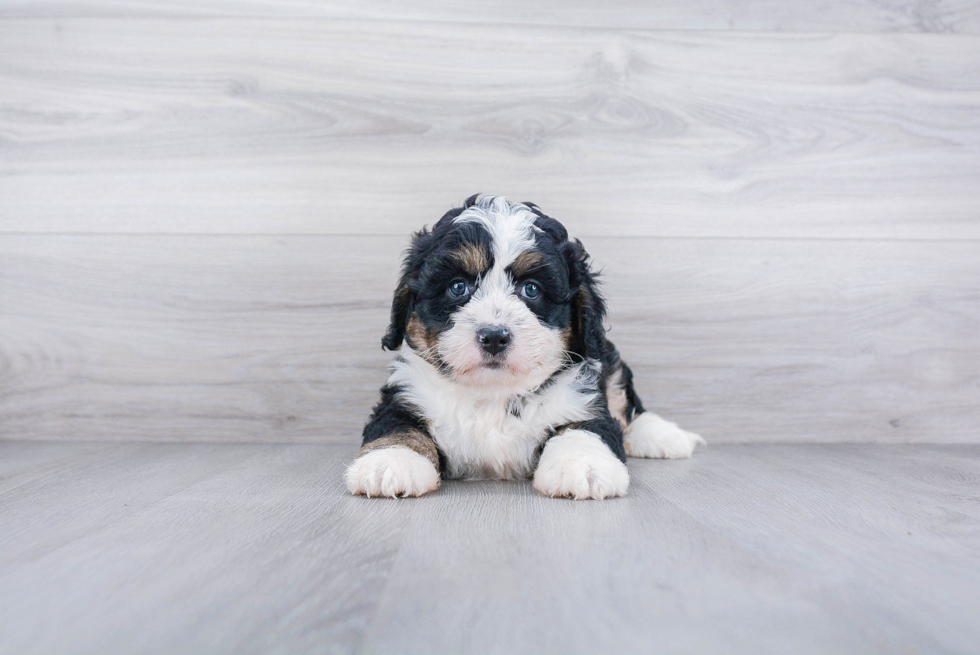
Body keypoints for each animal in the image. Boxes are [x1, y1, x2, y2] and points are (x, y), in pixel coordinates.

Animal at [344, 196, 704, 502]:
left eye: (531, 289)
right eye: (458, 287)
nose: (493, 336)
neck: (493, 394)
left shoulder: (585, 400)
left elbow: (584, 428)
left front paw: (582, 466)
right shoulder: (405, 395)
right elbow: (398, 426)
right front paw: (390, 462)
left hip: (609, 360)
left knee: (629, 407)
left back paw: (666, 437)